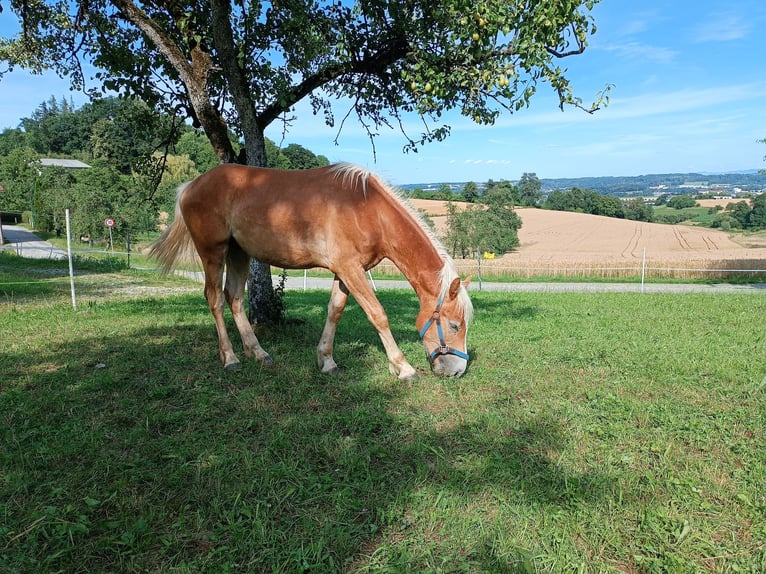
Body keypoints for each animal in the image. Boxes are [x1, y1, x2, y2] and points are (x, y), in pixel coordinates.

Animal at [150, 164, 474, 382]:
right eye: (455, 325)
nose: (458, 370)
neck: (366, 210)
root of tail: (190, 185)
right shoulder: (350, 269)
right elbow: (377, 314)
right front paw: (403, 367)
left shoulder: (345, 272)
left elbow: (335, 311)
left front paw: (327, 361)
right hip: (213, 253)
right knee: (215, 299)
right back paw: (230, 358)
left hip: (238, 253)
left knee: (235, 298)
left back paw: (258, 353)